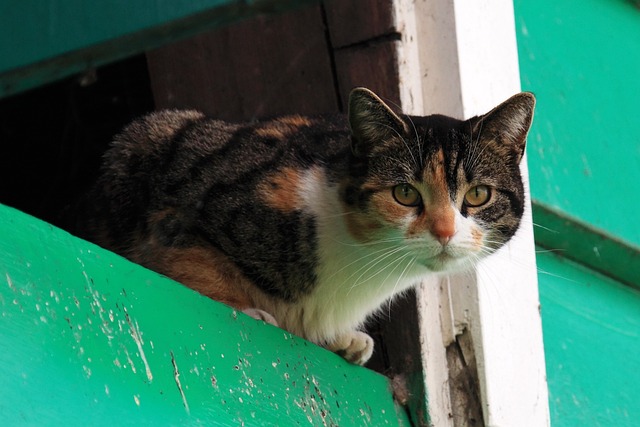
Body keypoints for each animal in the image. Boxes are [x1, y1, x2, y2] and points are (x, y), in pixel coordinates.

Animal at [80, 87, 536, 364]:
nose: (443, 231)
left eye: (478, 195)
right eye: (405, 193)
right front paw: (248, 310)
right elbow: (187, 261)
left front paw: (345, 340)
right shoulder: (184, 216)